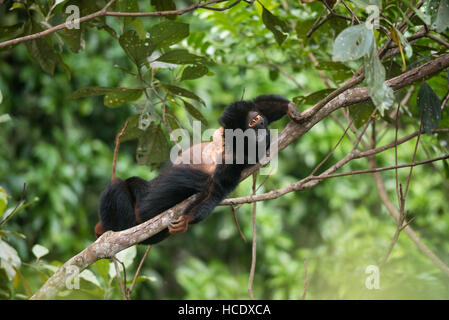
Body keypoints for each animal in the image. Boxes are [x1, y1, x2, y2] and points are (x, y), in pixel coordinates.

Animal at [94, 94, 294, 244]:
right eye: (259, 126)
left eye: (260, 134)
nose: (261, 124)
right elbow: (254, 104)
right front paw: (289, 108)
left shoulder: (234, 162)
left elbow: (215, 189)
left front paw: (188, 219)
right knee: (135, 183)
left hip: (129, 221)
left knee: (117, 186)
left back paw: (105, 227)